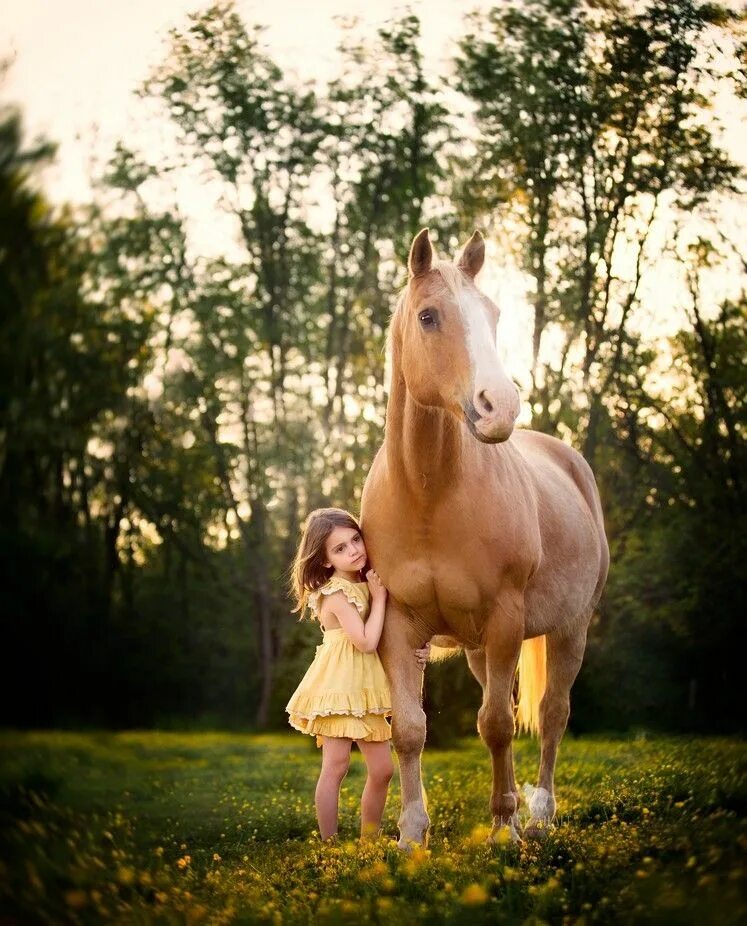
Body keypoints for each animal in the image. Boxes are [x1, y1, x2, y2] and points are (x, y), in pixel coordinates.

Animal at [360, 230, 612, 848]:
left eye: (494, 315)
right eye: (428, 316)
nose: (499, 406)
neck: (429, 494)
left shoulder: (505, 618)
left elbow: (497, 724)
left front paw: (503, 828)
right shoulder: (397, 625)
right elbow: (409, 729)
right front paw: (411, 836)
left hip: (569, 628)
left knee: (551, 712)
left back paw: (538, 812)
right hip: (478, 647)